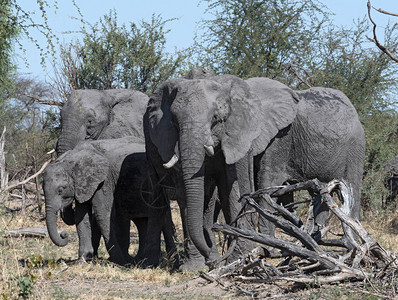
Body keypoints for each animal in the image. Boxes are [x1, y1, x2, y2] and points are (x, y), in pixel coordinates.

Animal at [42, 137, 176, 266]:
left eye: (60, 190)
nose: (64, 234)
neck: (72, 160)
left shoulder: (104, 181)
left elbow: (103, 214)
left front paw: (120, 262)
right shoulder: (84, 185)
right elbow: (81, 218)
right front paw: (82, 261)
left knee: (163, 218)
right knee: (141, 221)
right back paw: (139, 260)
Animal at [145, 71, 366, 266]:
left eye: (216, 118)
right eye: (173, 121)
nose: (212, 260)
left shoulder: (279, 136)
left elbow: (262, 183)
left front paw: (259, 251)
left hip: (355, 146)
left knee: (351, 191)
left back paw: (350, 246)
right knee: (320, 194)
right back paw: (317, 240)